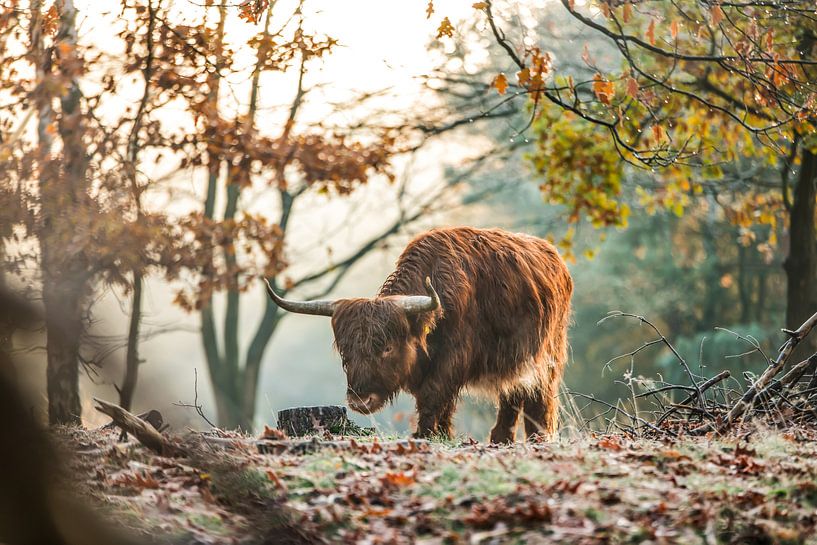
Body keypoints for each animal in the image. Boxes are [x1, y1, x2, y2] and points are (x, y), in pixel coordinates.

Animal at [264, 225, 572, 442]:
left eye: (387, 348)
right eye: (344, 352)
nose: (360, 401)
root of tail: (553, 255)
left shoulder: (455, 356)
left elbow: (433, 394)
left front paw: (425, 433)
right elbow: (440, 402)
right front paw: (442, 434)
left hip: (545, 355)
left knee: (537, 396)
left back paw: (536, 437)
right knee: (514, 394)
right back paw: (501, 439)